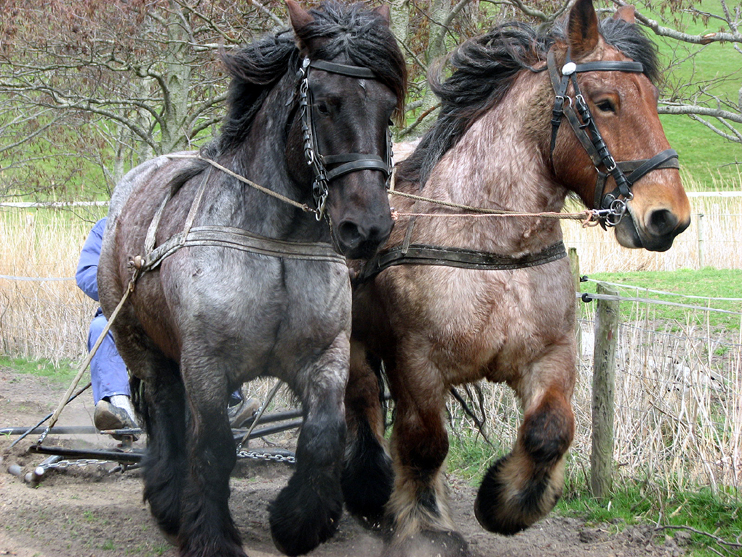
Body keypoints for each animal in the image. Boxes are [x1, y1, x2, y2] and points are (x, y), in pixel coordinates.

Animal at [97, 2, 406, 552]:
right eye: (325, 104)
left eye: (388, 108)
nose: (367, 227)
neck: (276, 246)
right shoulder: (206, 364)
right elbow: (214, 446)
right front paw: (211, 537)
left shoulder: (326, 355)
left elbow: (323, 434)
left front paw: (298, 521)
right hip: (142, 346)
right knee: (167, 416)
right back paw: (170, 501)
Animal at [346, 1, 696, 556]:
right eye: (606, 103)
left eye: (654, 101)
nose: (669, 217)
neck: (495, 248)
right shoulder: (416, 362)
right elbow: (424, 443)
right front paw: (427, 527)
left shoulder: (552, 353)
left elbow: (551, 431)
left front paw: (507, 503)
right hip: (356, 339)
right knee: (361, 405)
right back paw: (368, 491)